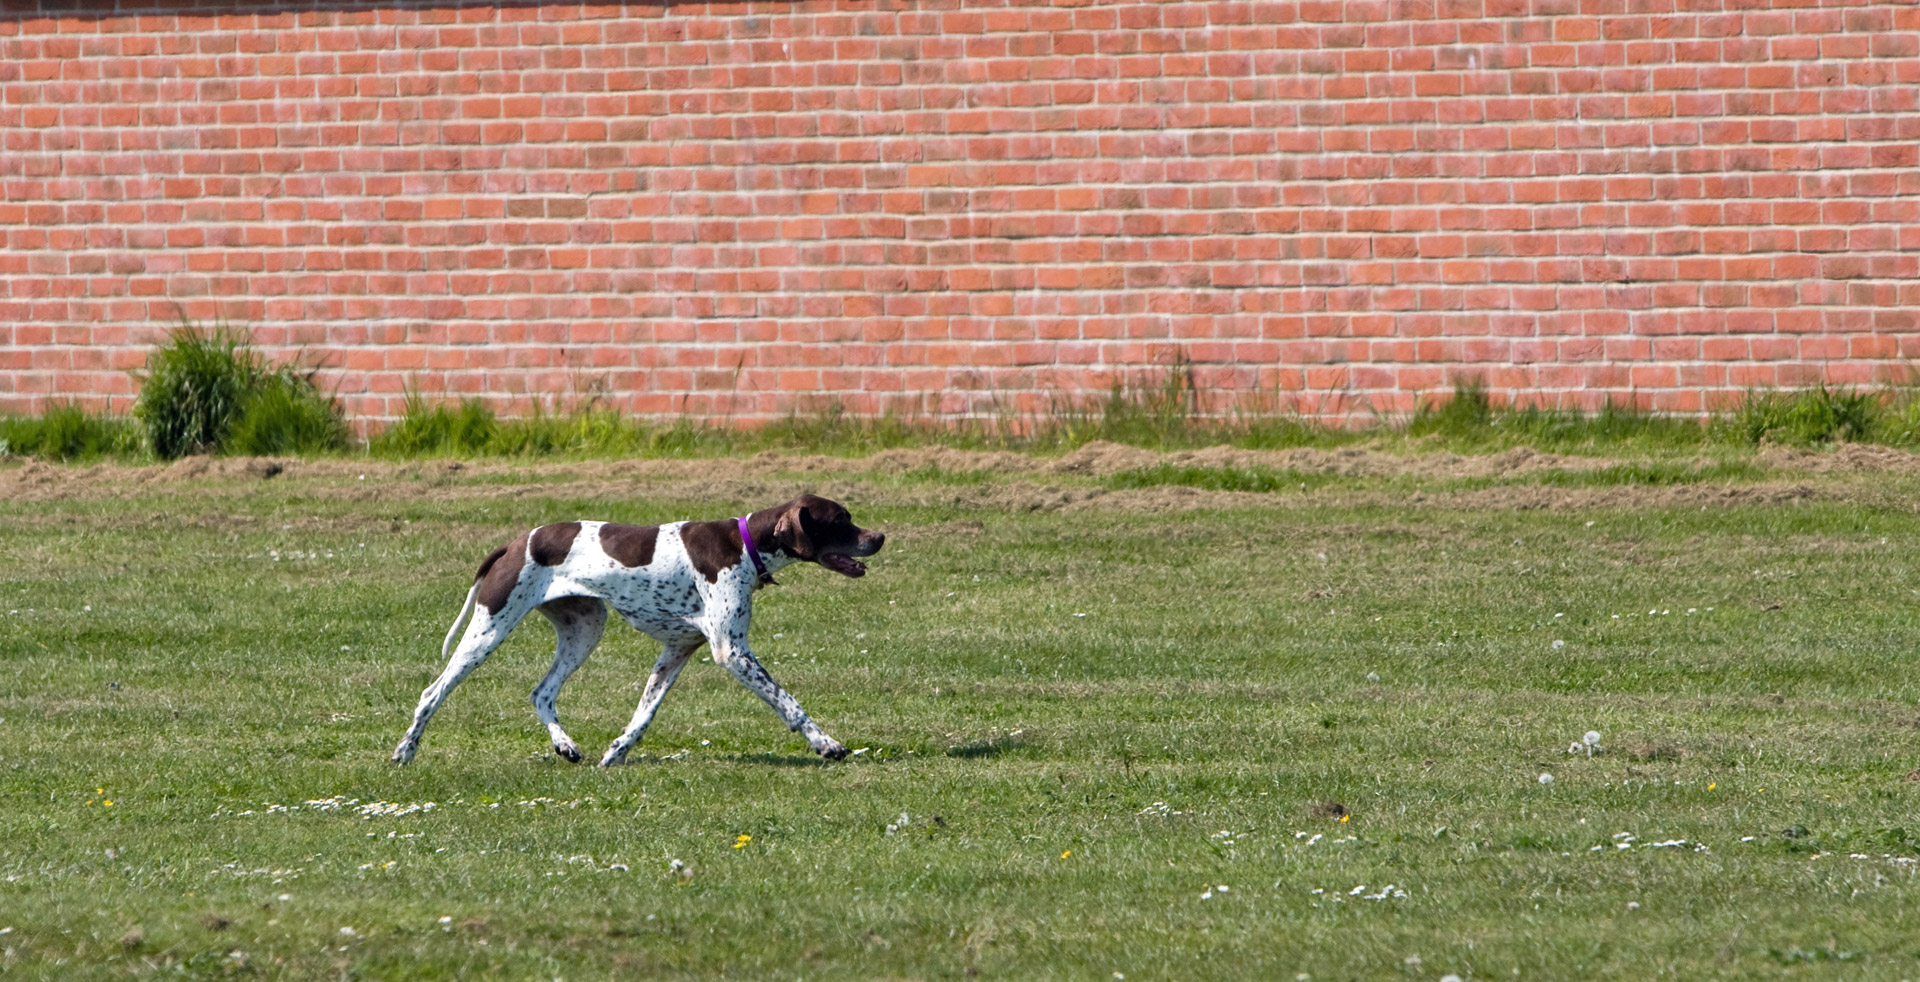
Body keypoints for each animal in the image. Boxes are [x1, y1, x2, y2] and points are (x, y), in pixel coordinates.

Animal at [397, 495, 890, 764]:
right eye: (840, 520)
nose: (880, 537)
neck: (747, 545)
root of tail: (516, 542)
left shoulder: (677, 650)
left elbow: (643, 714)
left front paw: (617, 751)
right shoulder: (731, 652)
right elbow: (789, 702)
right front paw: (826, 743)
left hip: (585, 630)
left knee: (541, 692)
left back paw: (566, 745)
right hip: (487, 631)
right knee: (432, 692)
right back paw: (405, 752)